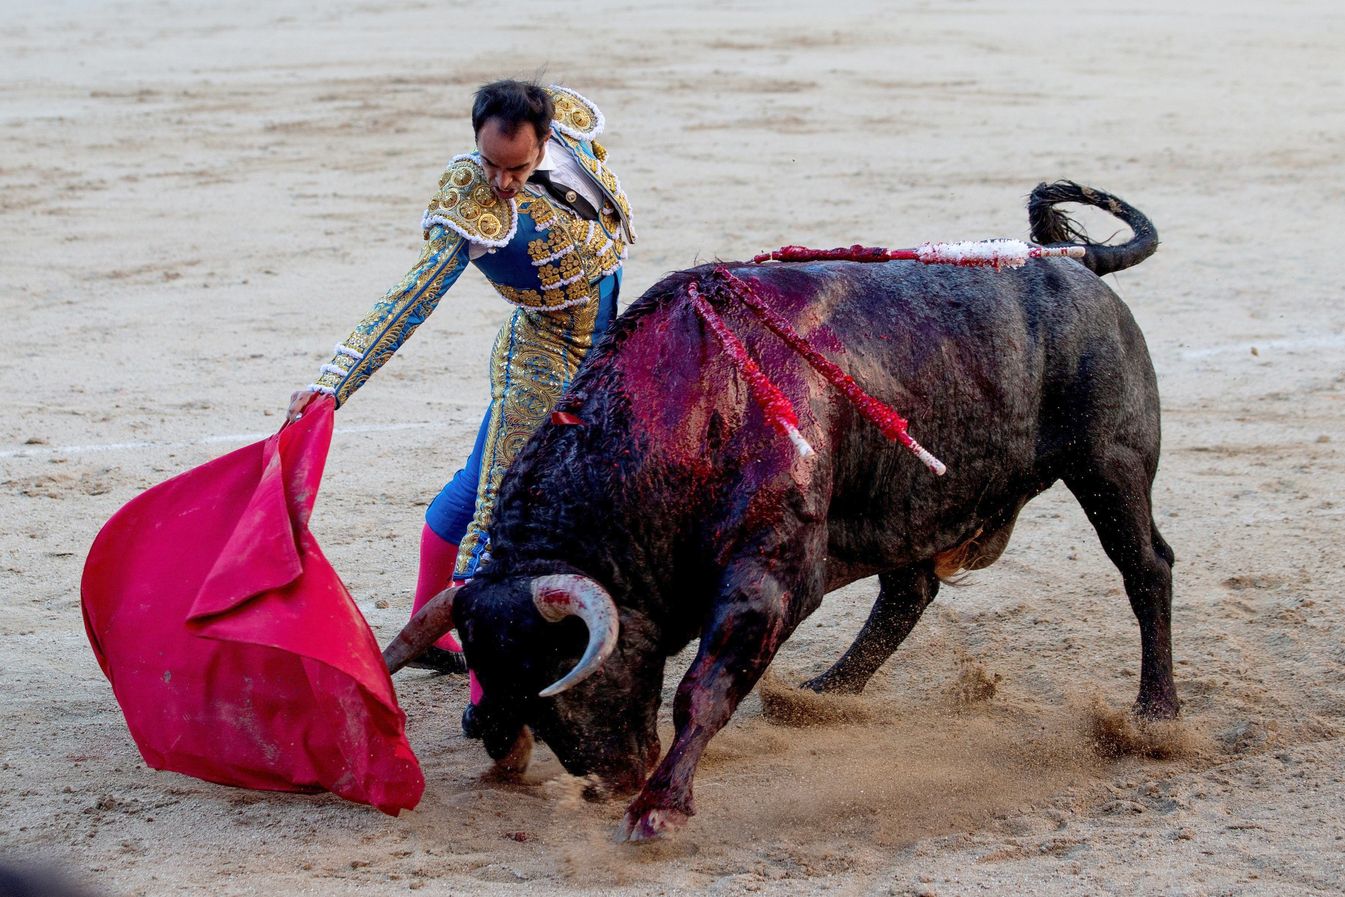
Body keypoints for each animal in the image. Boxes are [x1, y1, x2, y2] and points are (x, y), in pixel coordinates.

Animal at [384, 182, 1172, 844]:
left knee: (1146, 567)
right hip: (916, 500)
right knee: (909, 589)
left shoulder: (774, 569)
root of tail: (1076, 268)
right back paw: (824, 694)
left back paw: (1156, 716)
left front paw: (658, 807)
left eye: (561, 662)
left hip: (1109, 465)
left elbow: (702, 689)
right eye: (505, 677)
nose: (611, 777)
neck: (686, 414)